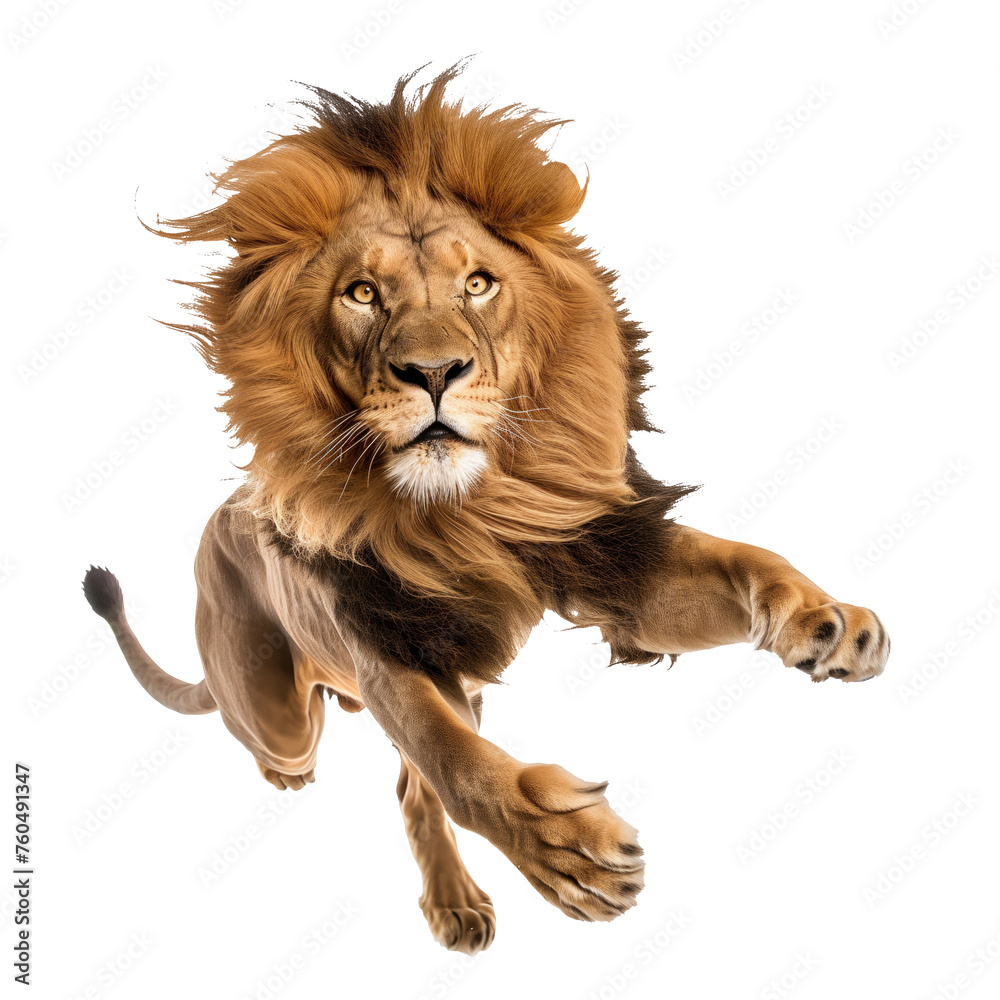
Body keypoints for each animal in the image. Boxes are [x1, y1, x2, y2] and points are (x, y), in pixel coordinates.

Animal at [82, 65, 888, 954]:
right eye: (362, 294)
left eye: (477, 284)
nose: (434, 372)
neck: (465, 513)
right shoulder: (385, 645)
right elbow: (460, 765)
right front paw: (569, 852)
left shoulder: (598, 561)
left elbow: (744, 562)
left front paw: (829, 622)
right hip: (276, 706)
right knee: (288, 740)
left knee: (408, 788)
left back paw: (454, 902)